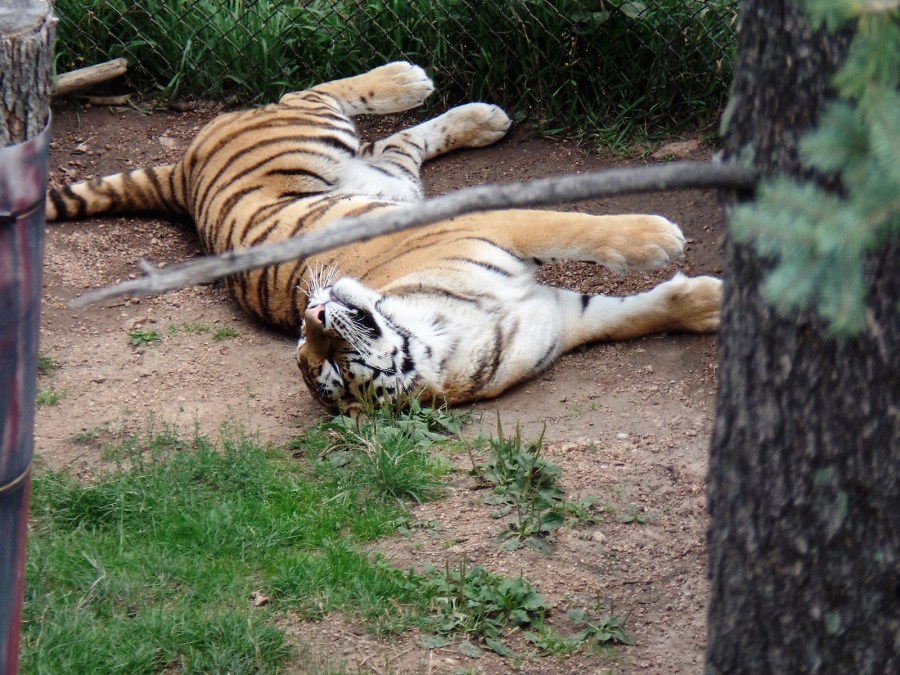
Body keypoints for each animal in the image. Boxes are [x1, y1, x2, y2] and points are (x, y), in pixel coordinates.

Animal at [46, 62, 722, 413]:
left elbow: (575, 226)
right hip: (378, 168)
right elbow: (633, 315)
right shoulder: (562, 315)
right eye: (322, 362)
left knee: (316, 93)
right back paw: (475, 114)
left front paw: (659, 240)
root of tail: (181, 174)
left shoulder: (488, 223)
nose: (315, 309)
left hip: (311, 137)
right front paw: (708, 300)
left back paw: (412, 80)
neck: (447, 339)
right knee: (395, 137)